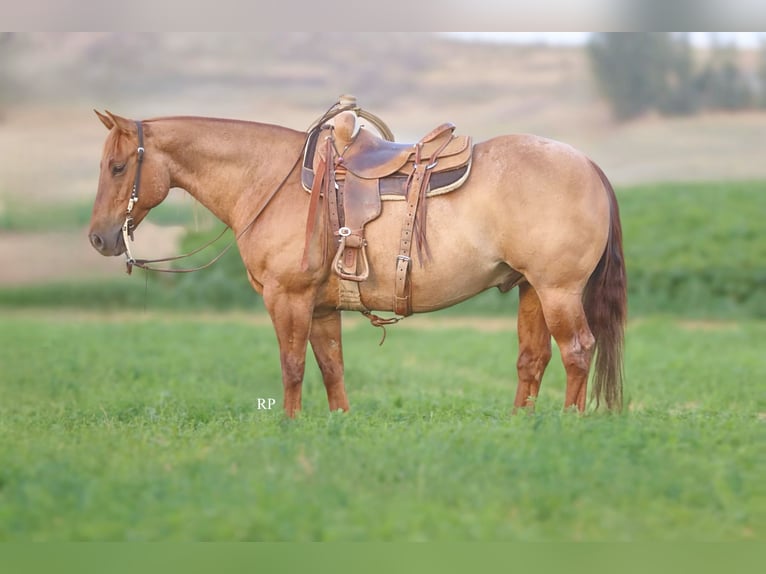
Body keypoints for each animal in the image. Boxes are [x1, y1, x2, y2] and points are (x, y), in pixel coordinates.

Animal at [88, 107, 626, 418]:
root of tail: (590, 166)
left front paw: (290, 426)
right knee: (532, 360)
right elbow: (331, 367)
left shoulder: (288, 298)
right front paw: (337, 424)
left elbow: (291, 366)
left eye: (117, 166)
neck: (269, 180)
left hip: (558, 291)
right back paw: (522, 424)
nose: (98, 237)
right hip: (532, 289)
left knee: (578, 350)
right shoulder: (322, 307)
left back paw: (570, 422)